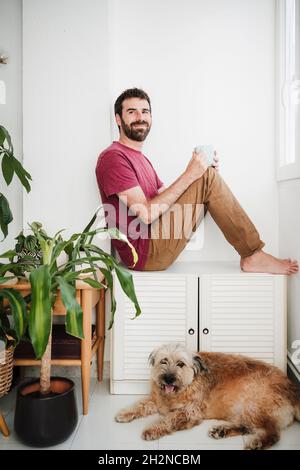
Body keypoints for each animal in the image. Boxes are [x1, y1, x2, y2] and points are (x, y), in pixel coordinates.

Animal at [116, 344, 300, 450]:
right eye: (163, 361)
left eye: (180, 364)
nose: (168, 378)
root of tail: (293, 389)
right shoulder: (156, 400)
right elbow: (140, 404)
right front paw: (125, 413)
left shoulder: (190, 412)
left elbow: (168, 420)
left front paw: (152, 429)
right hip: (244, 411)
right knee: (248, 426)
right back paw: (222, 431)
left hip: (255, 405)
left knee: (272, 433)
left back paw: (257, 443)